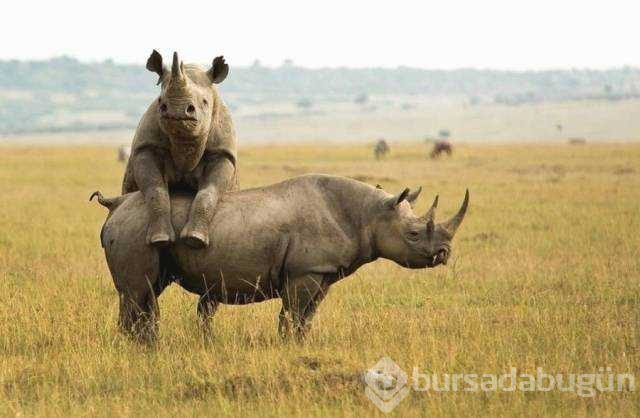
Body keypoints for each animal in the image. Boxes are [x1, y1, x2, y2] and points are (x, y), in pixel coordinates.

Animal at [91, 175, 470, 342]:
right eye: (414, 235)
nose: (444, 254)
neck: (370, 213)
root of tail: (116, 205)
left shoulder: (321, 272)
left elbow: (306, 316)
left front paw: (300, 345)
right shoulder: (306, 270)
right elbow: (293, 314)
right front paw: (288, 345)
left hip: (140, 228)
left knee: (146, 291)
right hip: (136, 229)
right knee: (137, 291)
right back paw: (137, 348)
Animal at [121, 51, 236, 250]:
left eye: (205, 102)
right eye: (160, 100)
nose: (177, 111)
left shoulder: (223, 153)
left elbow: (209, 192)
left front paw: (195, 239)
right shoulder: (146, 148)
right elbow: (155, 190)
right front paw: (160, 240)